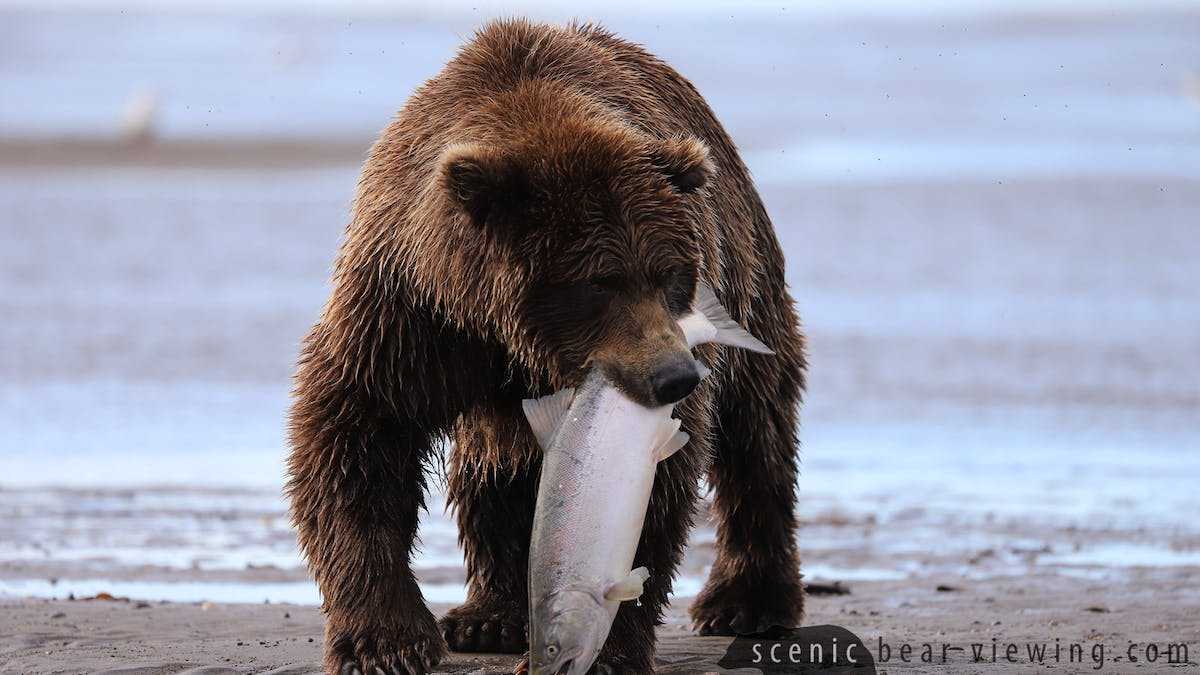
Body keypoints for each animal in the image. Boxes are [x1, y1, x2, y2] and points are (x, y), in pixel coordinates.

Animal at [286, 18, 807, 675]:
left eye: (669, 274)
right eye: (599, 282)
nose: (674, 376)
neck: (508, 331)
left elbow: (655, 489)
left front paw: (608, 650)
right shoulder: (410, 311)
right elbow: (358, 435)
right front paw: (385, 642)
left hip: (745, 272)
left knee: (755, 429)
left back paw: (745, 601)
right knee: (493, 466)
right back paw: (490, 616)